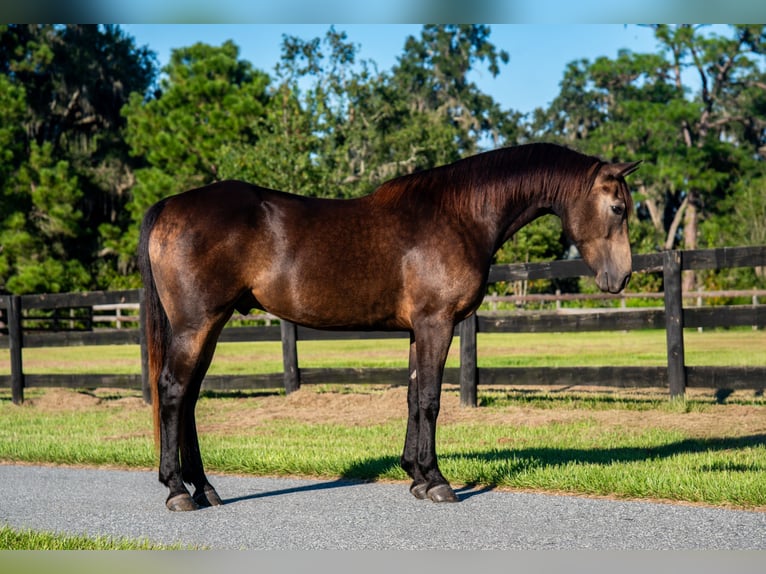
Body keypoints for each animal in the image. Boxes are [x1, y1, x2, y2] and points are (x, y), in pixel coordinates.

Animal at [138, 142, 640, 511]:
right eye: (618, 208)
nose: (621, 278)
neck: (459, 215)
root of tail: (169, 205)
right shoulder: (438, 323)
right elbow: (432, 400)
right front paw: (437, 482)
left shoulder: (419, 329)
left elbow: (414, 398)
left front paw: (416, 477)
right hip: (197, 325)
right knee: (174, 392)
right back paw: (178, 490)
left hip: (209, 326)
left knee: (189, 399)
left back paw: (204, 488)